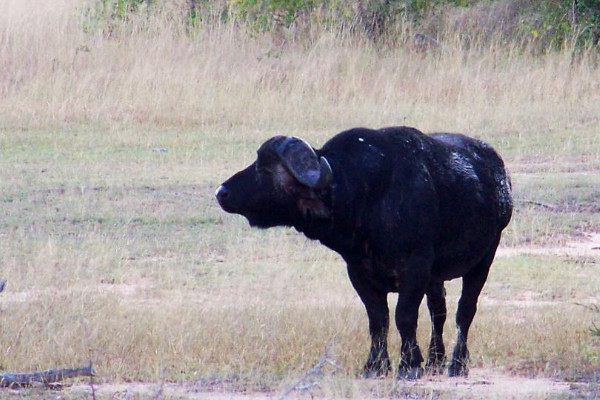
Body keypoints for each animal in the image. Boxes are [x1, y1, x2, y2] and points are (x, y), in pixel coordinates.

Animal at [214, 126, 510, 380]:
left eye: (264, 169)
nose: (221, 192)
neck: (369, 198)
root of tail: (499, 174)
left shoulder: (415, 268)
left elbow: (404, 316)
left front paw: (409, 365)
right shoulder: (358, 272)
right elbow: (378, 319)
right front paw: (375, 365)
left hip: (484, 258)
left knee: (464, 311)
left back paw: (457, 364)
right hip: (436, 278)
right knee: (439, 310)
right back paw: (435, 360)